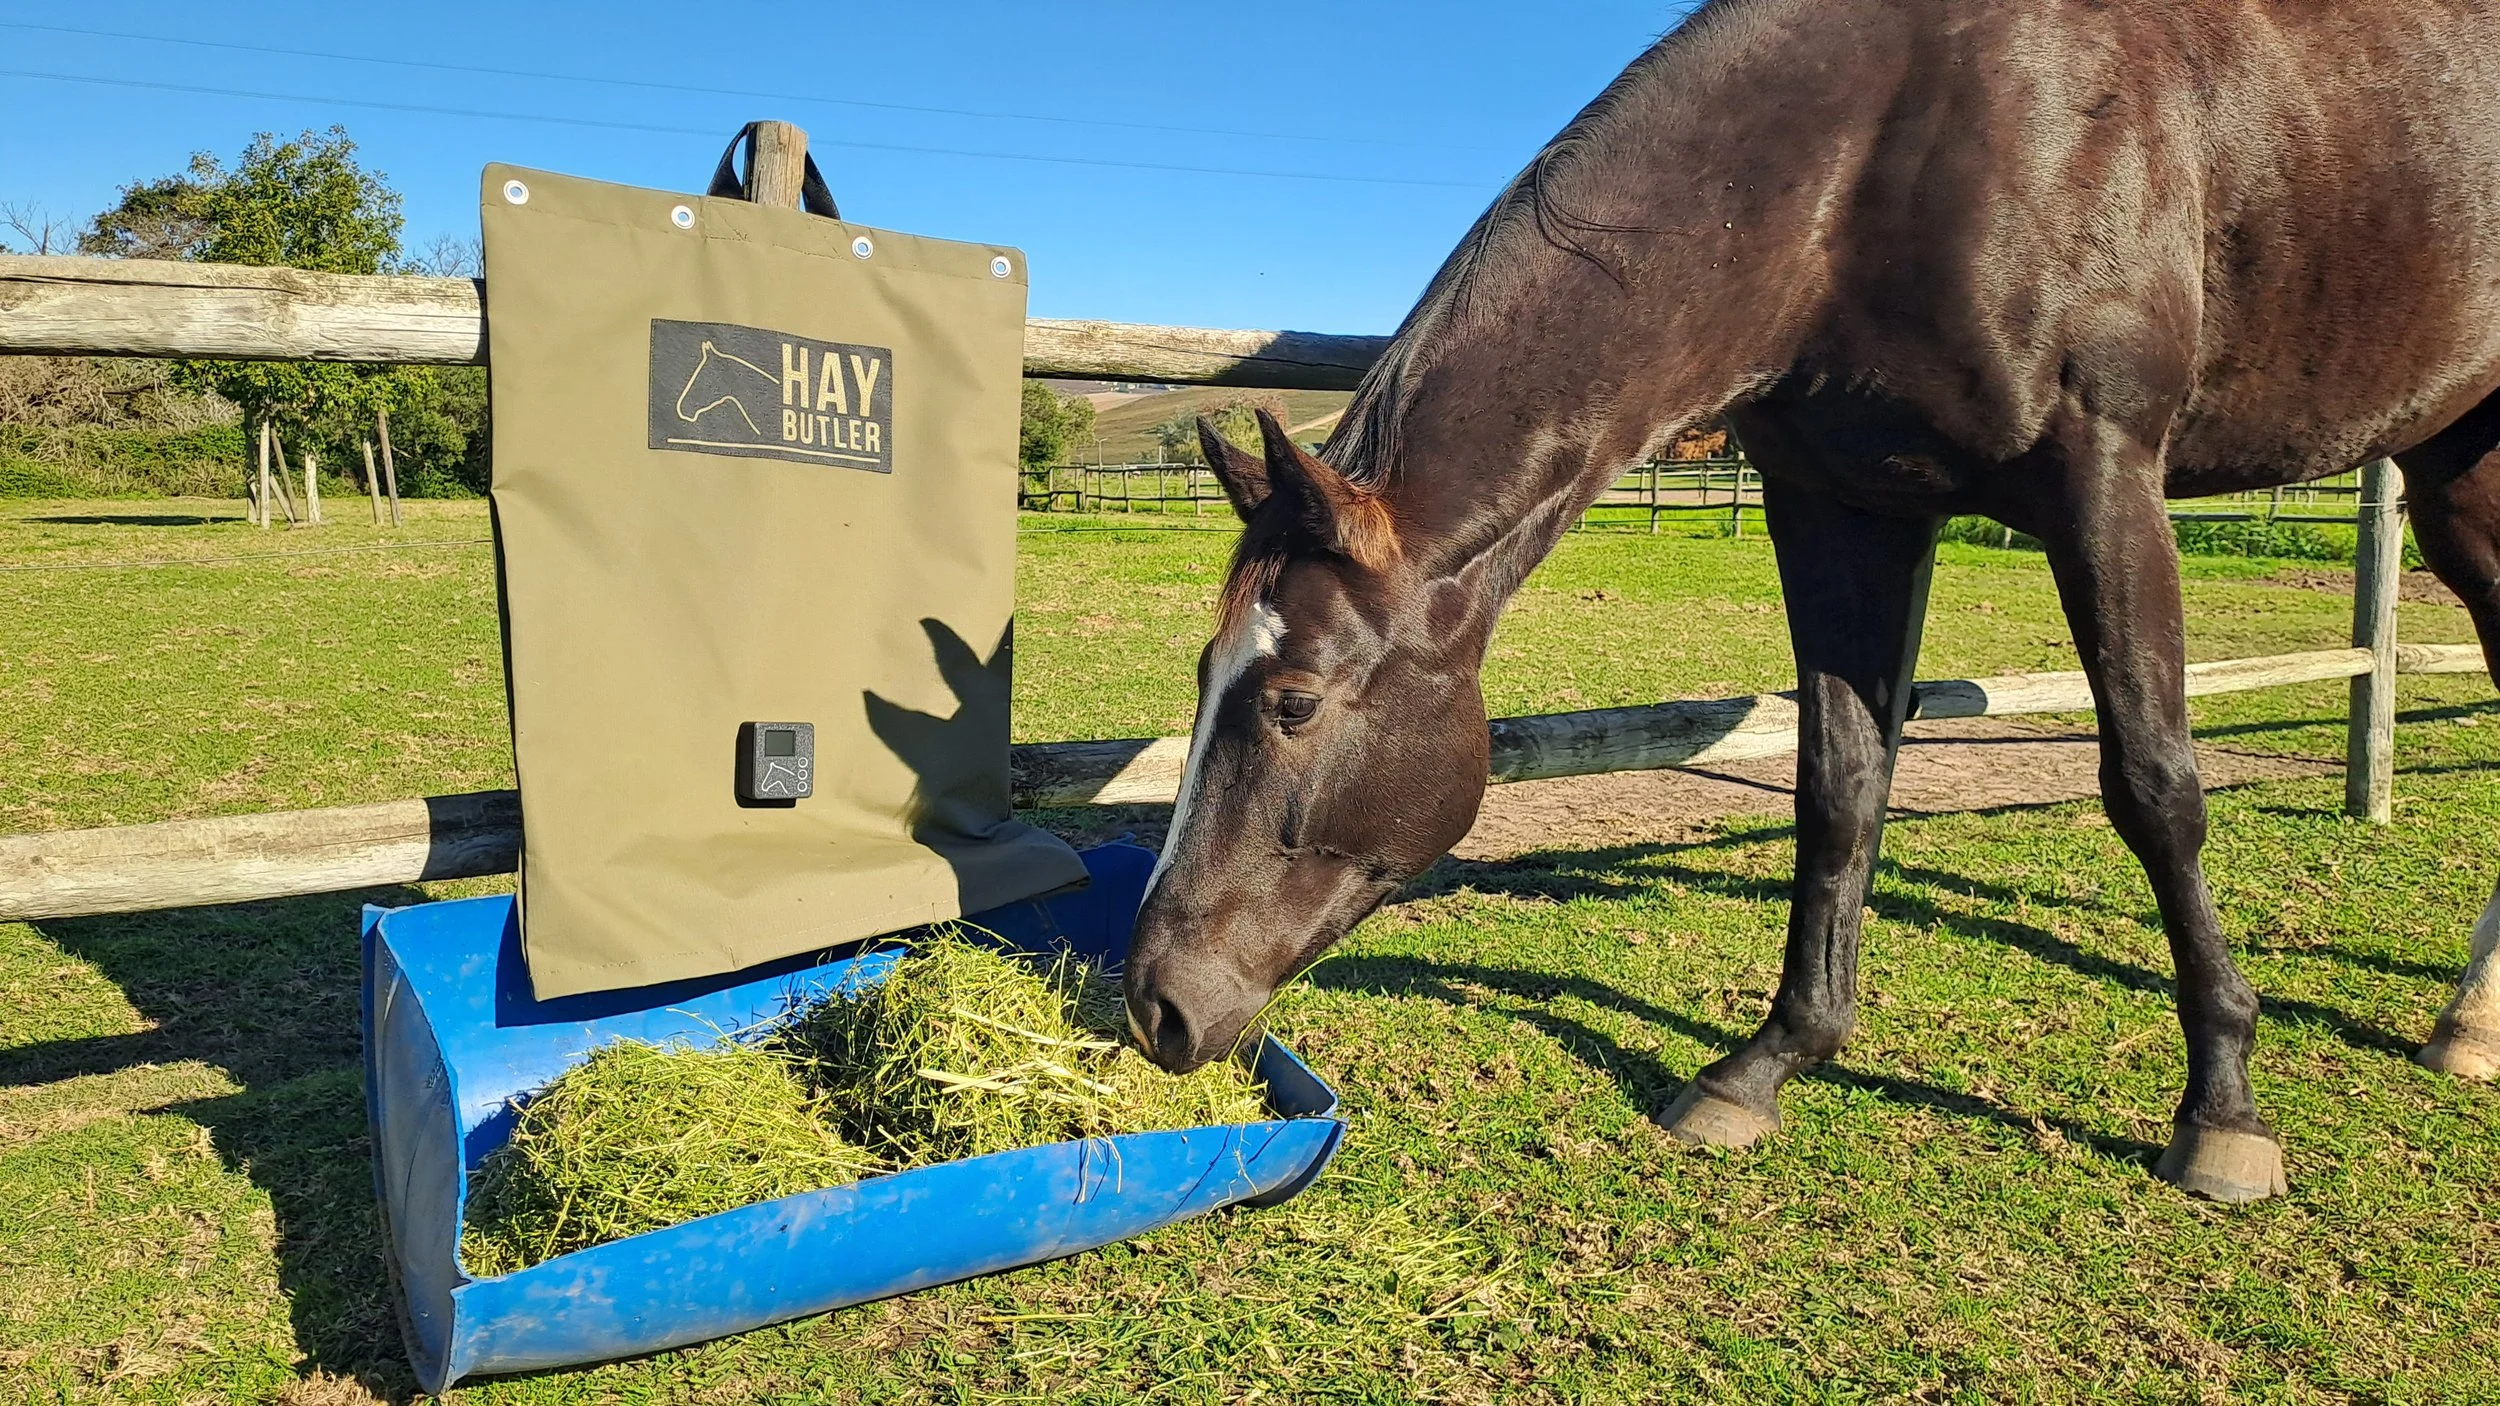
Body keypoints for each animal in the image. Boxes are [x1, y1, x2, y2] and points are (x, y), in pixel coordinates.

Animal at [1121, 0, 2500, 1204]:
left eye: (1294, 700)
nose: (1152, 1001)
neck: (1893, 149)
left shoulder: (2104, 481)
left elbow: (2155, 788)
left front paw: (2221, 1108)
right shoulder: (1840, 507)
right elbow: (1840, 783)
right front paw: (1764, 1063)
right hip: (2456, 473)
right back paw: (2467, 1021)